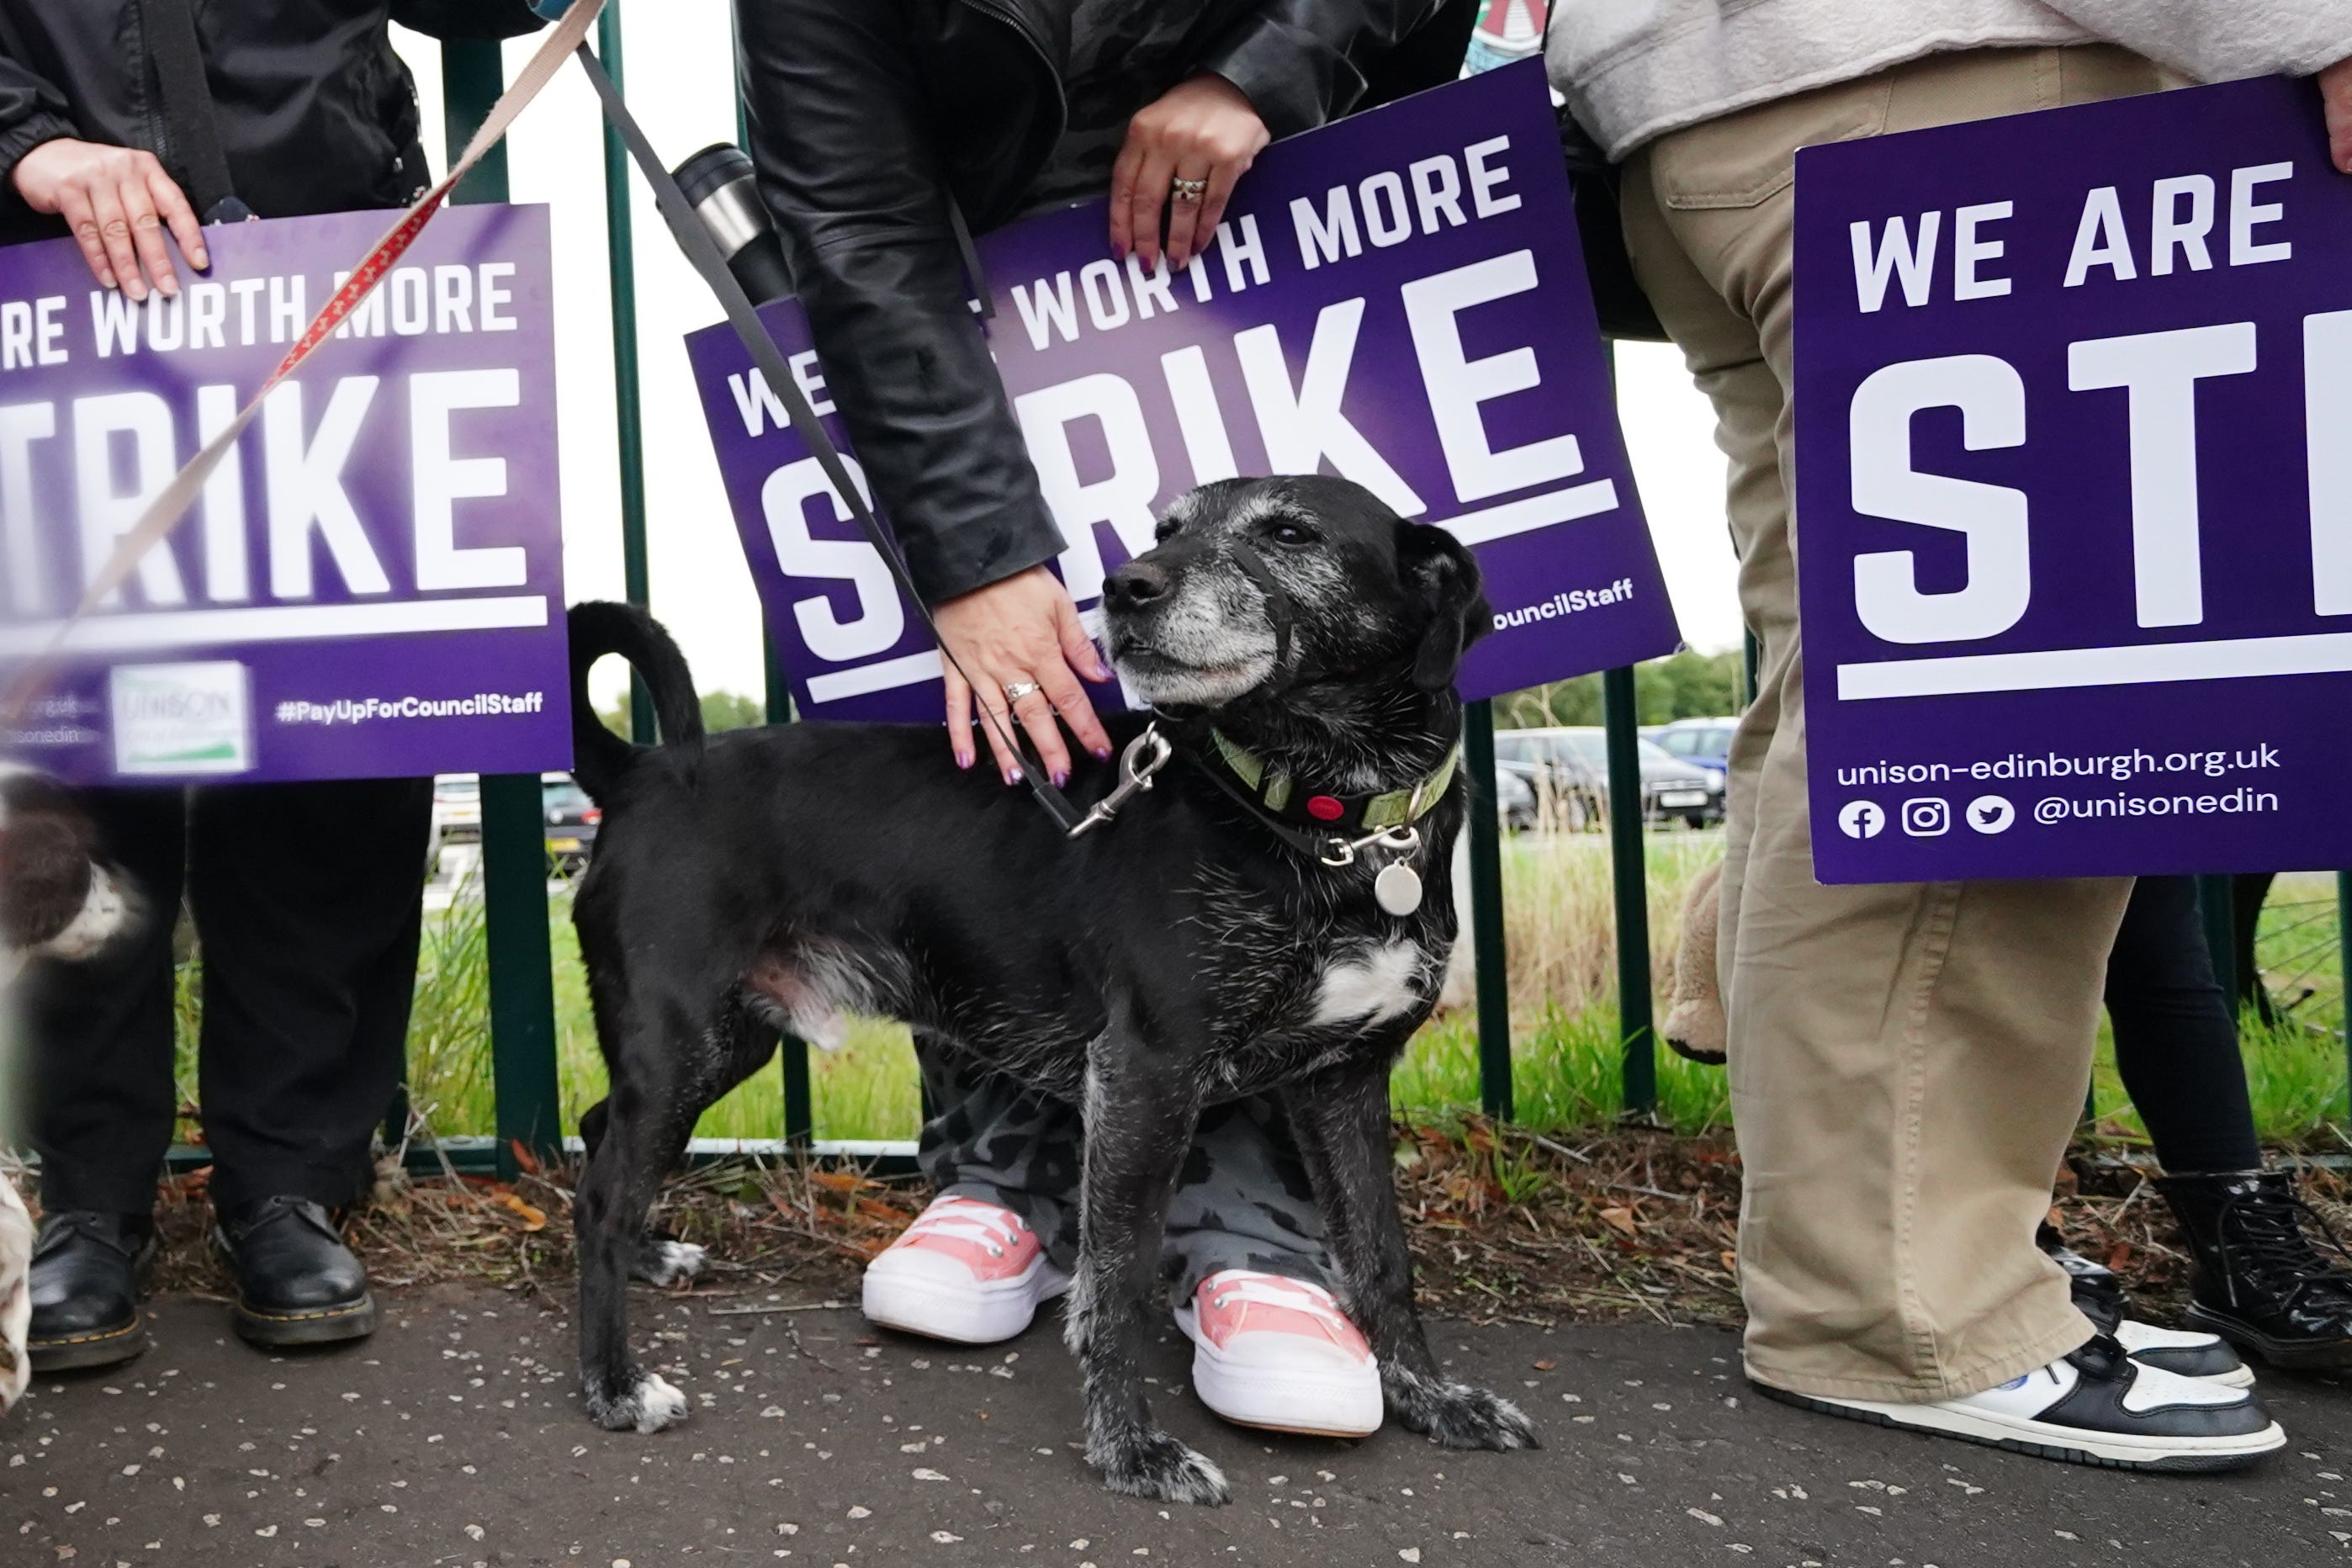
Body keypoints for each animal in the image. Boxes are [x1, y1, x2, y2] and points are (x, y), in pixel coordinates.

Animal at [559, 472, 1533, 1504]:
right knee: (603, 1197)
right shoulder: (1146, 1075)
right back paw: (615, 1384)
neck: (1327, 818)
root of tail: (639, 770)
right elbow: (1118, 1279)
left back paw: (650, 1258)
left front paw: (1437, 1400)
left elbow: (1382, 1257)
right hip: (682, 1039)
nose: (1127, 585)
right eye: (1165, 529)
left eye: (1291, 532)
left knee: (597, 1133)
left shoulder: (1344, 1086)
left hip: (723, 1038)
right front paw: (1131, 1449)